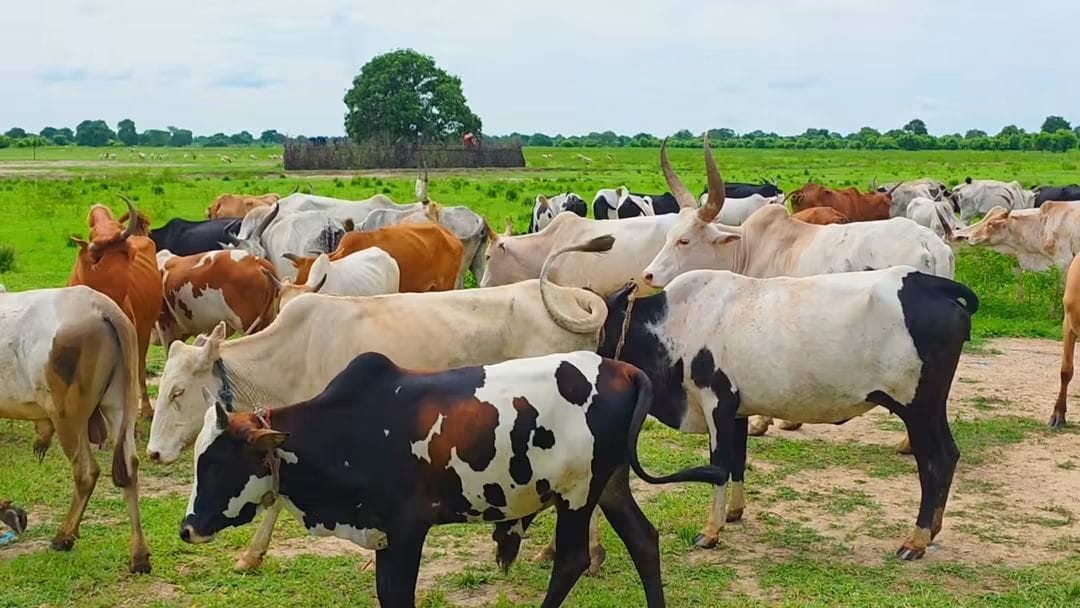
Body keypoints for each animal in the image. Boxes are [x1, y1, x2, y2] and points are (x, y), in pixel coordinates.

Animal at [0, 285, 151, 573]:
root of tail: (103, 308)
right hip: (119, 405)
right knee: (129, 468)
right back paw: (139, 556)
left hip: (67, 417)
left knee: (86, 471)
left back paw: (64, 536)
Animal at [181, 350, 684, 607]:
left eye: (215, 463)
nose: (187, 528)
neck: (350, 428)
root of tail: (624, 369)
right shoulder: (385, 537)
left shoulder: (406, 531)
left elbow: (397, 595)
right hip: (610, 484)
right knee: (644, 539)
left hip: (577, 493)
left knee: (573, 559)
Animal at [602, 265, 977, 559]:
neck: (676, 323)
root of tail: (924, 282)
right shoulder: (738, 410)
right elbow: (738, 461)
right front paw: (734, 512)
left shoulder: (717, 403)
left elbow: (719, 466)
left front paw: (711, 532)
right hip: (931, 407)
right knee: (950, 455)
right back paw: (932, 530)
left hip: (918, 407)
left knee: (935, 461)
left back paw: (916, 540)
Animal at [643, 136, 953, 442]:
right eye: (669, 236)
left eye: (684, 240)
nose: (649, 274)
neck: (749, 249)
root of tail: (931, 244)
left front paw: (763, 423)